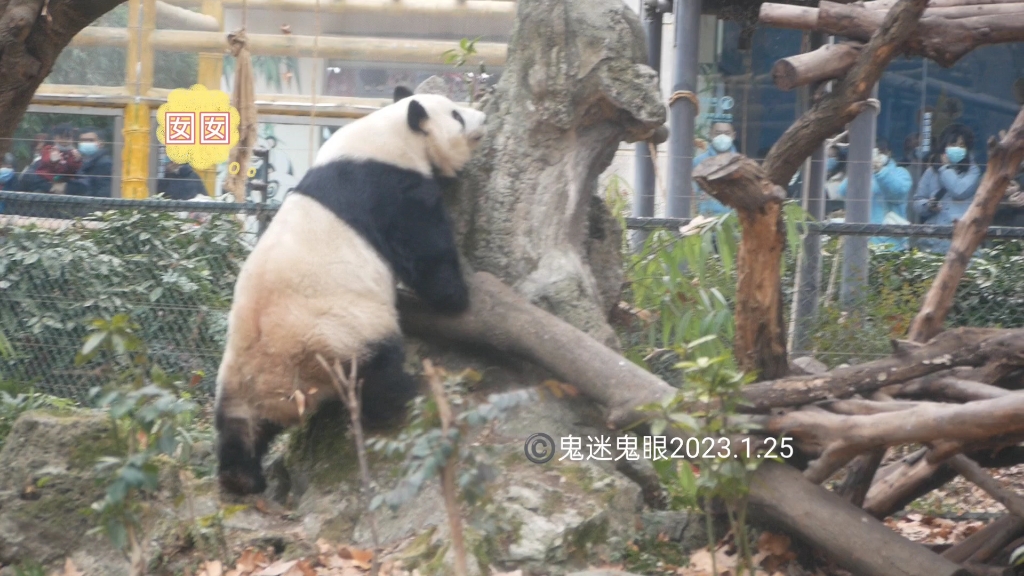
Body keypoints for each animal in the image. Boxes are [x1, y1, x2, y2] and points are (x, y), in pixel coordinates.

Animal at [211, 85, 487, 494]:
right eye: (455, 115)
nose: (483, 118)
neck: (387, 134)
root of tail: (284, 386)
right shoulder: (391, 188)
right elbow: (423, 248)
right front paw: (457, 297)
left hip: (237, 374)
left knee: (237, 424)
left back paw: (240, 476)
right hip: (340, 332)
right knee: (377, 369)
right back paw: (403, 397)